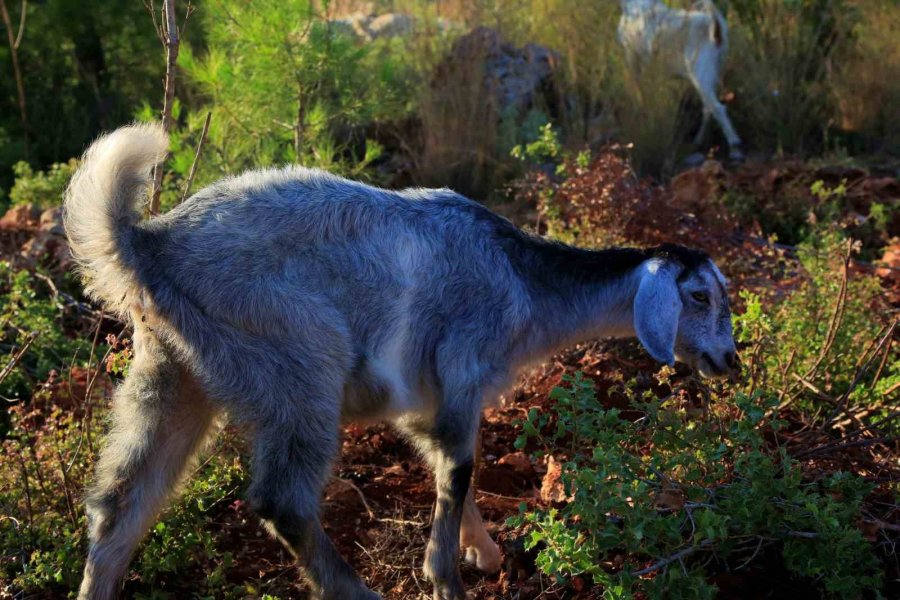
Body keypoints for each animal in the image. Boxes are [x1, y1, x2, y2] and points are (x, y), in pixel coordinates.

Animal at [65, 124, 740, 596]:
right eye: (699, 296)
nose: (729, 361)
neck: (523, 281)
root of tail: (149, 245)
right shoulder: (463, 367)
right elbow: (460, 466)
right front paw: (446, 578)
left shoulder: (425, 401)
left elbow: (446, 463)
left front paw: (484, 553)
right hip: (296, 362)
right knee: (282, 502)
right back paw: (356, 592)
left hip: (170, 374)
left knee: (120, 504)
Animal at [620, 0, 744, 162]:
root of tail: (714, 24)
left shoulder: (635, 61)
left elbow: (641, 94)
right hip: (713, 72)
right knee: (708, 107)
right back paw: (698, 141)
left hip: (701, 73)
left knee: (717, 108)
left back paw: (735, 148)